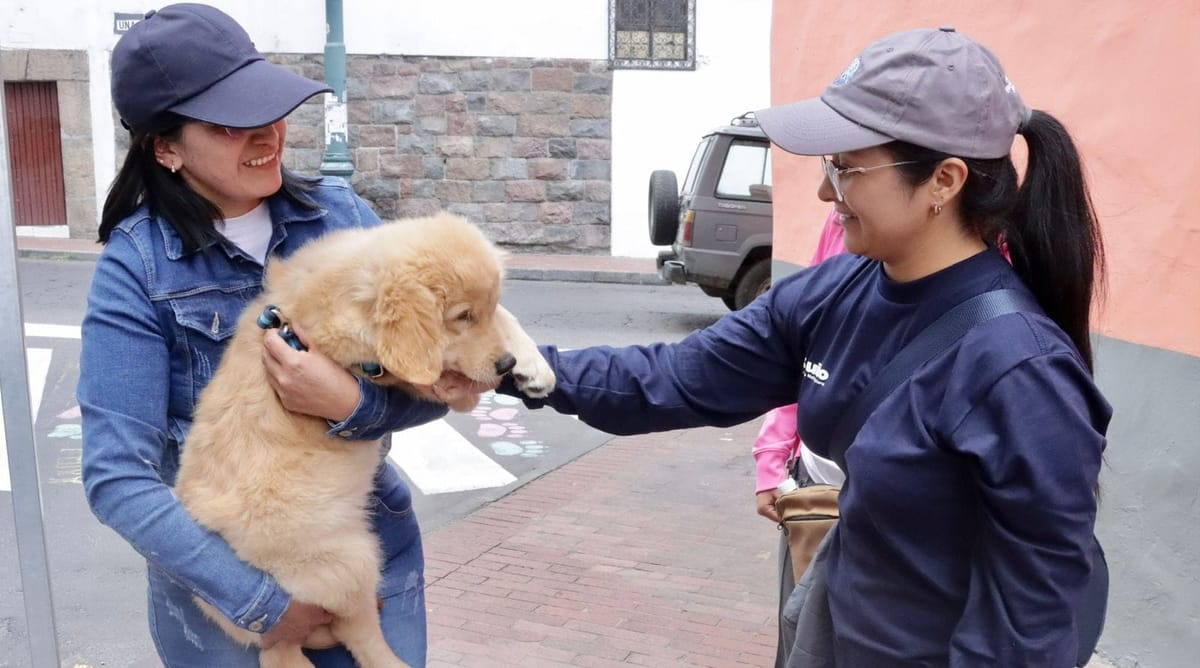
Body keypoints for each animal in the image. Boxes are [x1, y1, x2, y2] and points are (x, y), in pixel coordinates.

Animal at [175, 211, 556, 662]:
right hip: (350, 562)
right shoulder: (387, 366)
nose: (505, 365)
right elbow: (445, 377)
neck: (348, 287)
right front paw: (477, 383)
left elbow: (506, 319)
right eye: (462, 316)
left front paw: (534, 366)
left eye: (484, 307)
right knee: (340, 636)